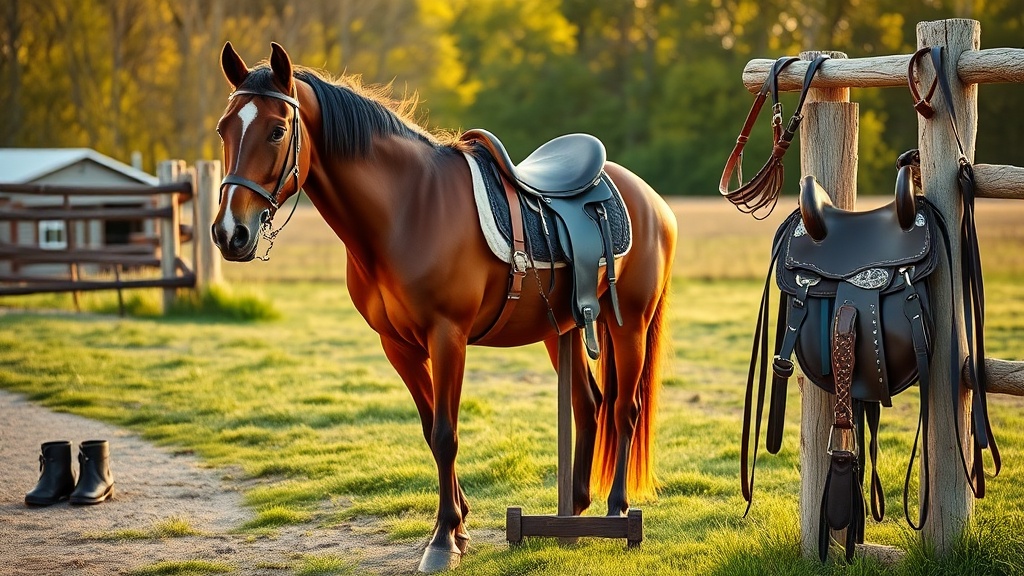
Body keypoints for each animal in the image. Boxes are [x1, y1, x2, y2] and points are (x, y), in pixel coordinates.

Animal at [212, 42, 677, 572]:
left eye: (276, 130)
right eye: (224, 128)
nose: (230, 233)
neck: (408, 209)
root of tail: (650, 199)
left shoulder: (448, 336)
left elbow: (446, 433)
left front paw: (443, 539)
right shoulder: (397, 345)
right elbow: (430, 428)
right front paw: (458, 526)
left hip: (630, 323)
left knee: (625, 409)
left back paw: (618, 512)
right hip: (561, 329)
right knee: (590, 404)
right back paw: (574, 515)